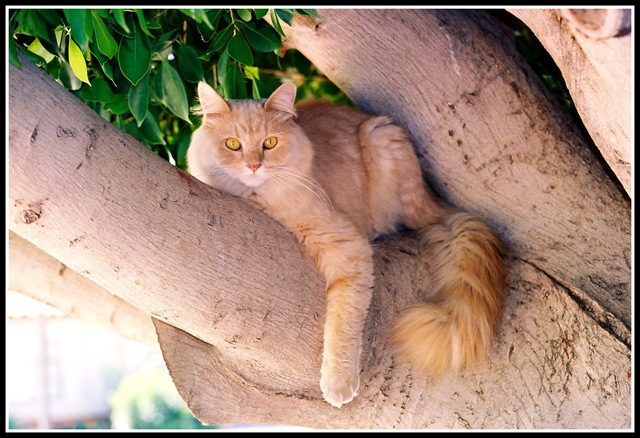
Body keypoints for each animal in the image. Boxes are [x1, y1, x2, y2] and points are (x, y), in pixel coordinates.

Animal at [186, 81, 505, 408]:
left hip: (382, 139)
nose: (253, 165)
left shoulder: (347, 244)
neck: (260, 199)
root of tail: (433, 203)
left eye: (270, 143)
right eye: (233, 145)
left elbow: (343, 323)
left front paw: (337, 383)